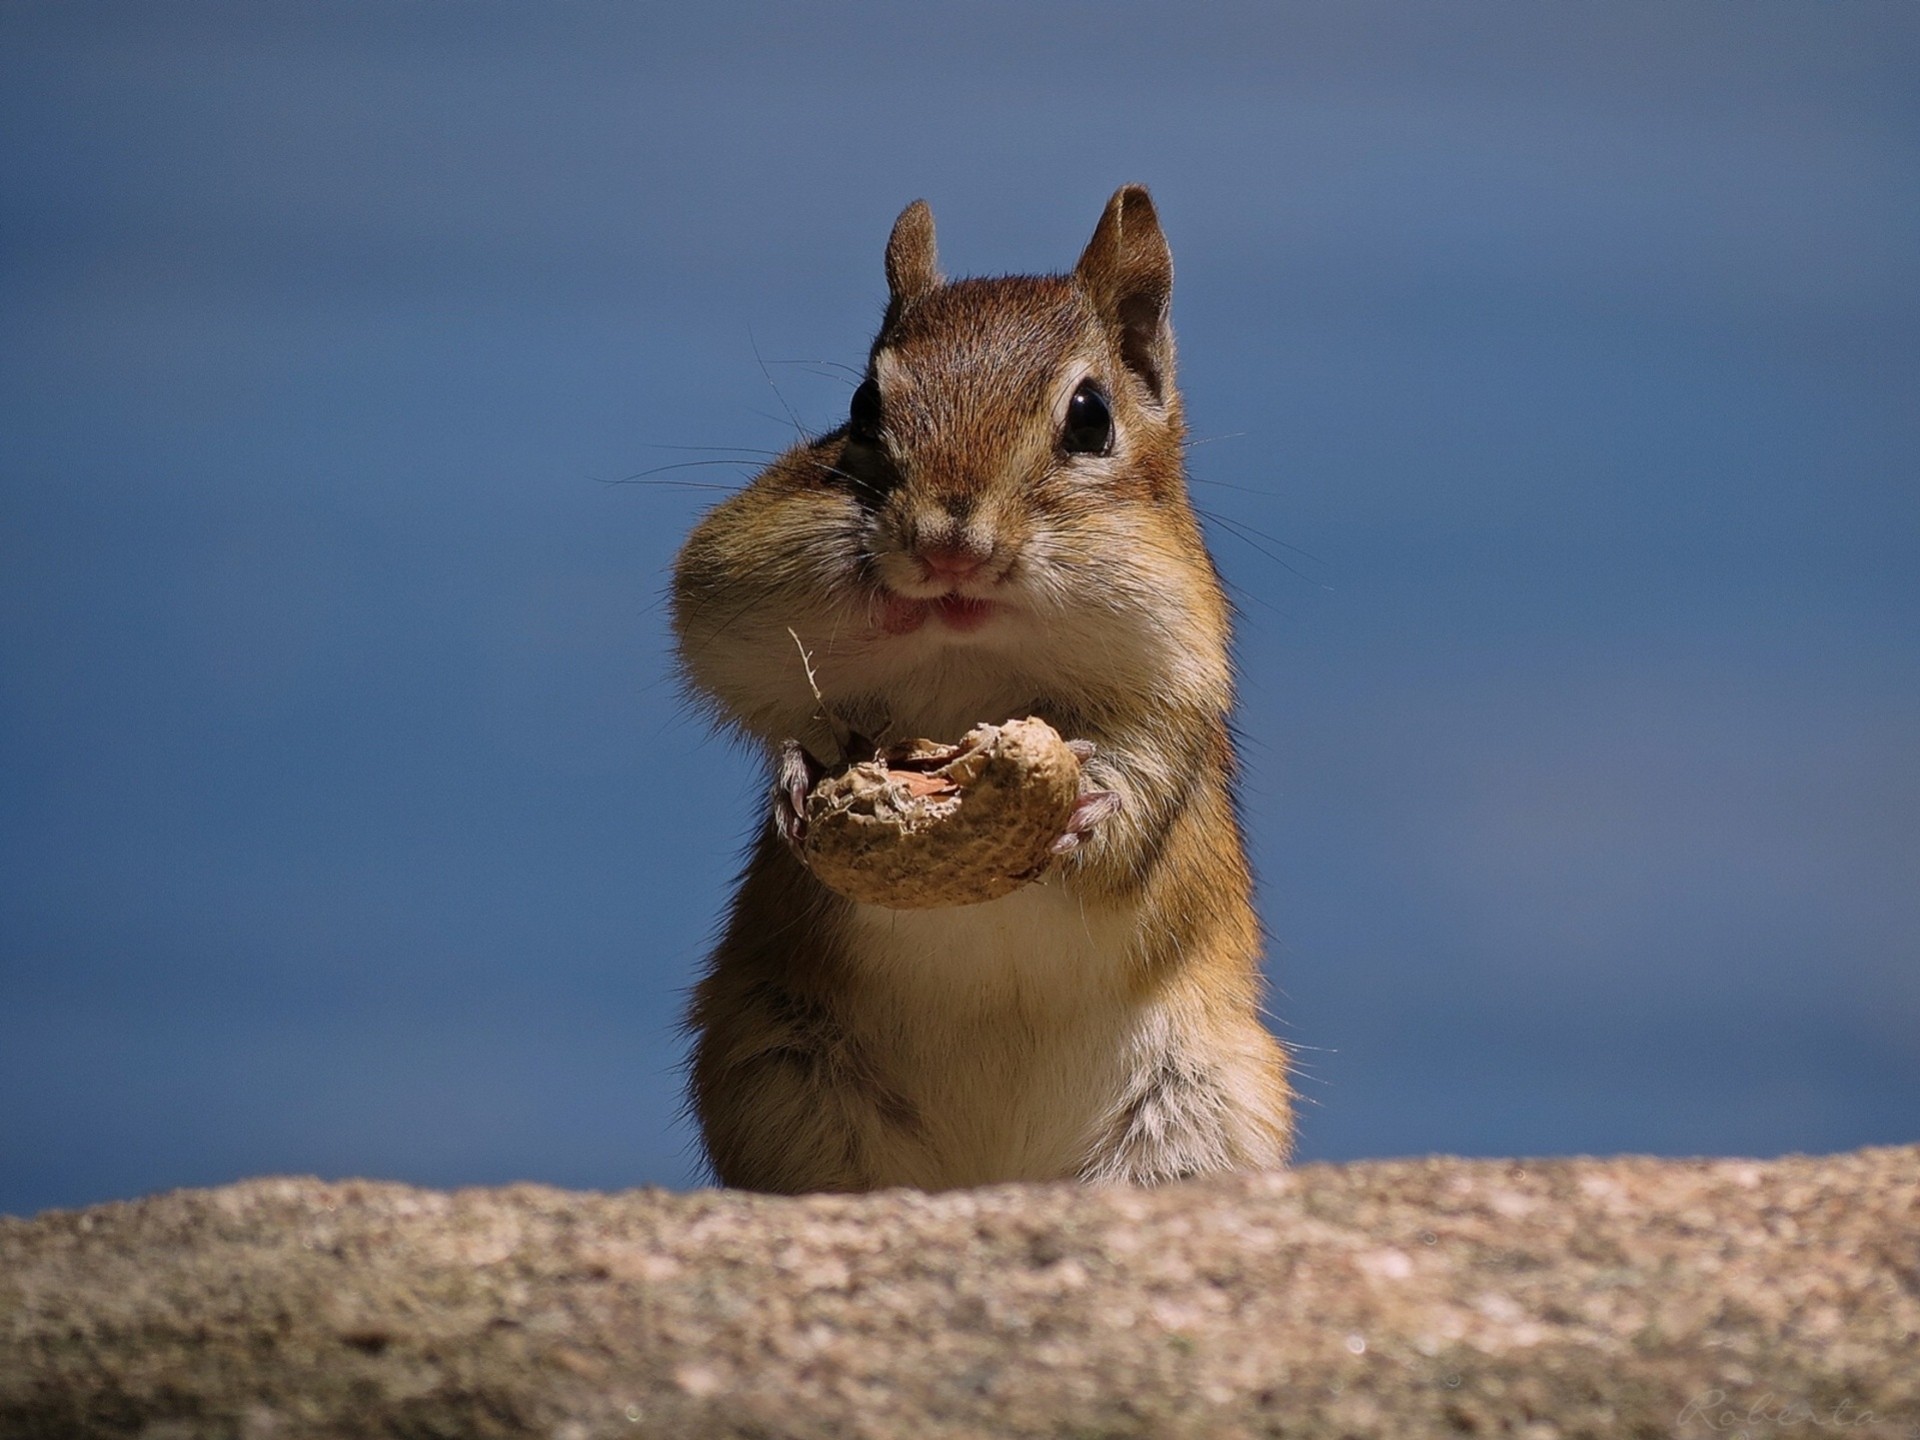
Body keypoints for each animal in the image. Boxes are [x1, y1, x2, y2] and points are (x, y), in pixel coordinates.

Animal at [671, 185, 1292, 1192]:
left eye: (1091, 417)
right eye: (863, 408)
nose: (946, 549)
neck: (972, 656)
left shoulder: (1179, 682)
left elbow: (1141, 794)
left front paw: (1089, 809)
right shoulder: (732, 592)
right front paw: (800, 779)